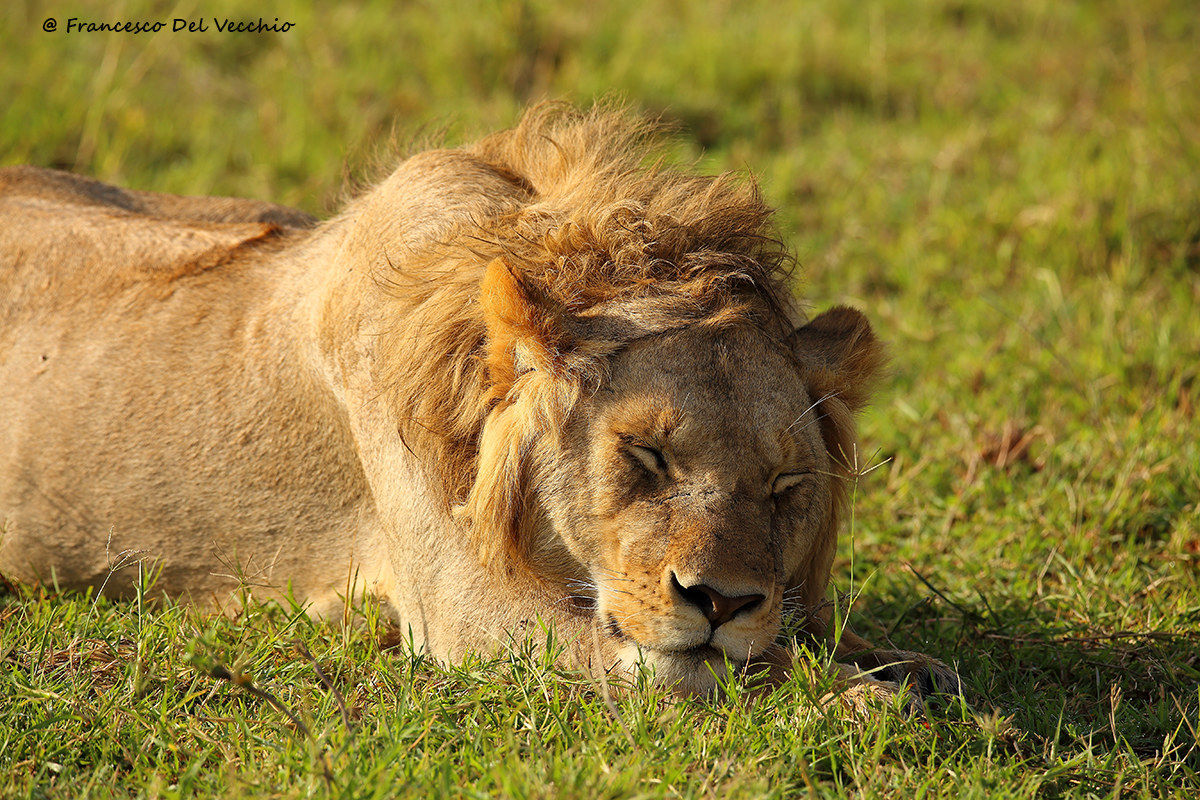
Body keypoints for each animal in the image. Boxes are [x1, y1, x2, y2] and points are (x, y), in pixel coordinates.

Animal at [0, 105, 959, 701]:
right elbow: (693, 669)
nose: (722, 602)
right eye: (646, 457)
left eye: (786, 489)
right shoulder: (471, 613)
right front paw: (864, 700)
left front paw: (905, 665)